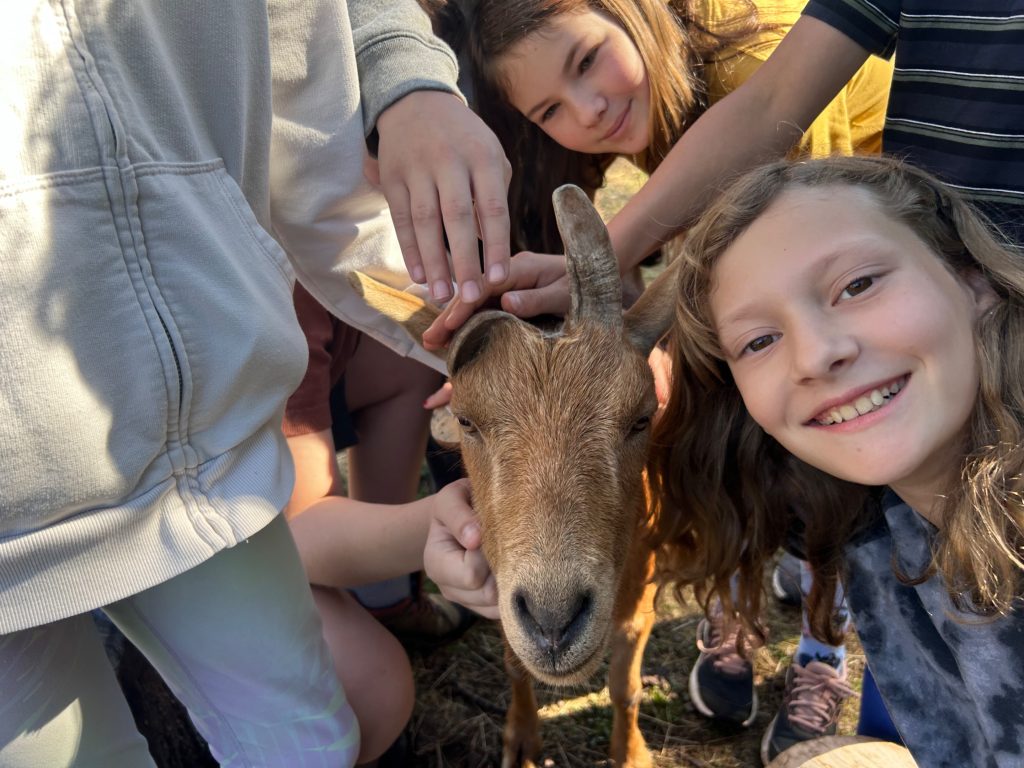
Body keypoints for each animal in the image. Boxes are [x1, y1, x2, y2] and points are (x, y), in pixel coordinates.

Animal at [350, 185, 678, 767]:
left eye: (643, 416)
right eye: (465, 419)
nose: (553, 623)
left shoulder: (640, 596)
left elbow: (626, 685)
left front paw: (632, 753)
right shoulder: (500, 583)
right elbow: (512, 663)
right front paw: (522, 742)